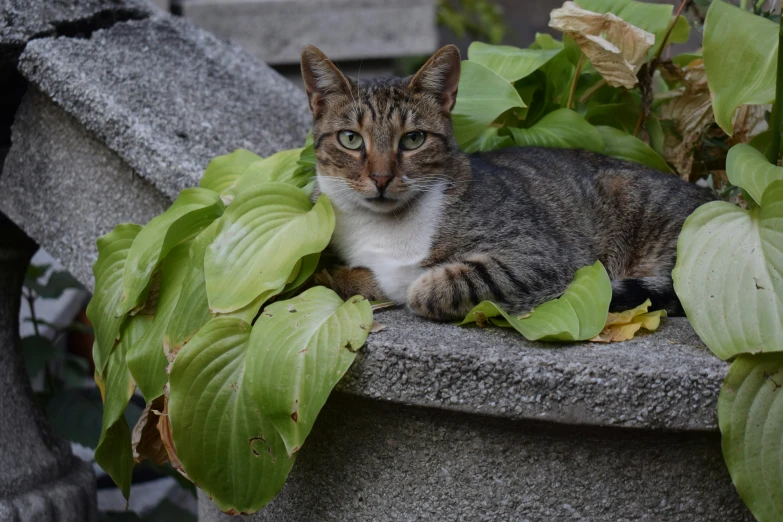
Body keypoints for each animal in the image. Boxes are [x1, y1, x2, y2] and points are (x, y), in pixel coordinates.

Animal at [302, 43, 716, 320]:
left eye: (413, 140)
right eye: (351, 139)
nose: (382, 177)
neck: (385, 228)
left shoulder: (543, 258)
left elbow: (433, 285)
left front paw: (411, 284)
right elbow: (330, 276)